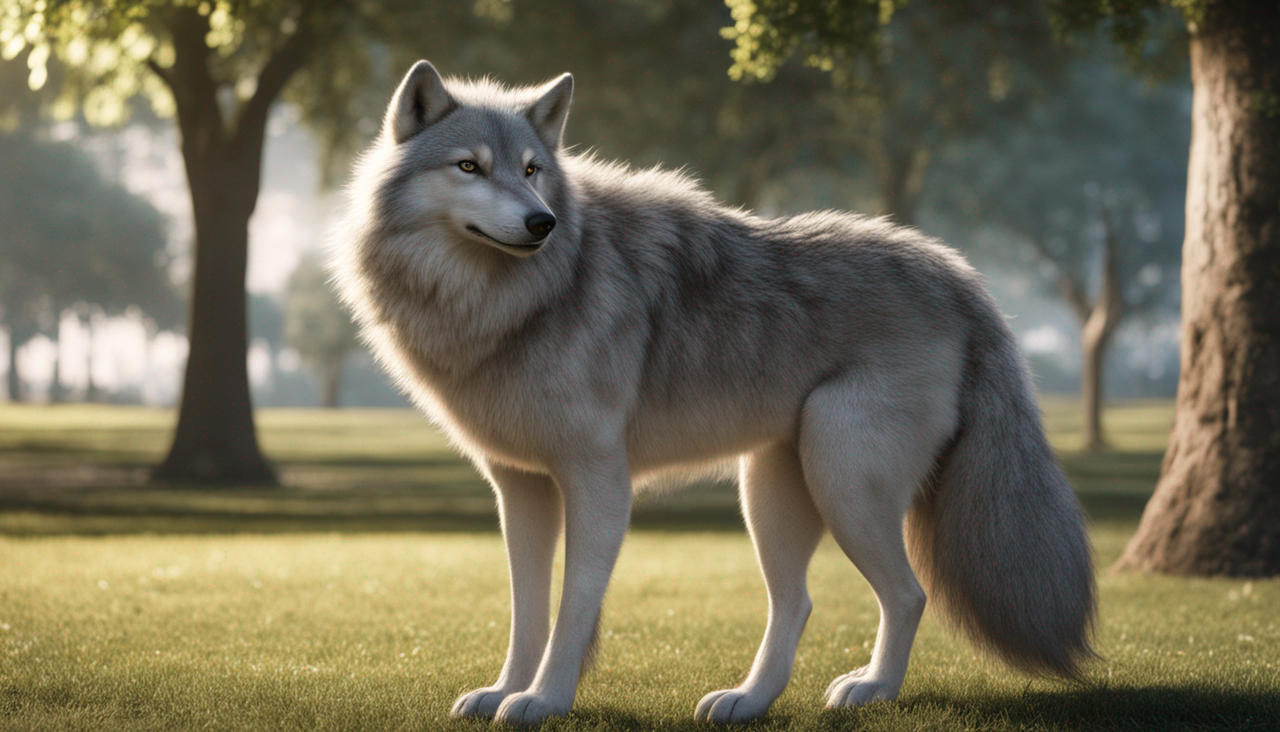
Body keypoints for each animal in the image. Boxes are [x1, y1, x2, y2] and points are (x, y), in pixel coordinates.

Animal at [331, 60, 1096, 725]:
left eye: (531, 170)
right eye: (469, 166)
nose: (542, 222)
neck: (510, 304)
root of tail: (962, 277)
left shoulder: (597, 480)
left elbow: (573, 605)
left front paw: (543, 702)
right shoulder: (520, 487)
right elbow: (528, 610)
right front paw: (503, 693)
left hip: (841, 478)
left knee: (907, 595)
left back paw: (872, 691)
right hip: (771, 492)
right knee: (798, 604)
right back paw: (747, 701)